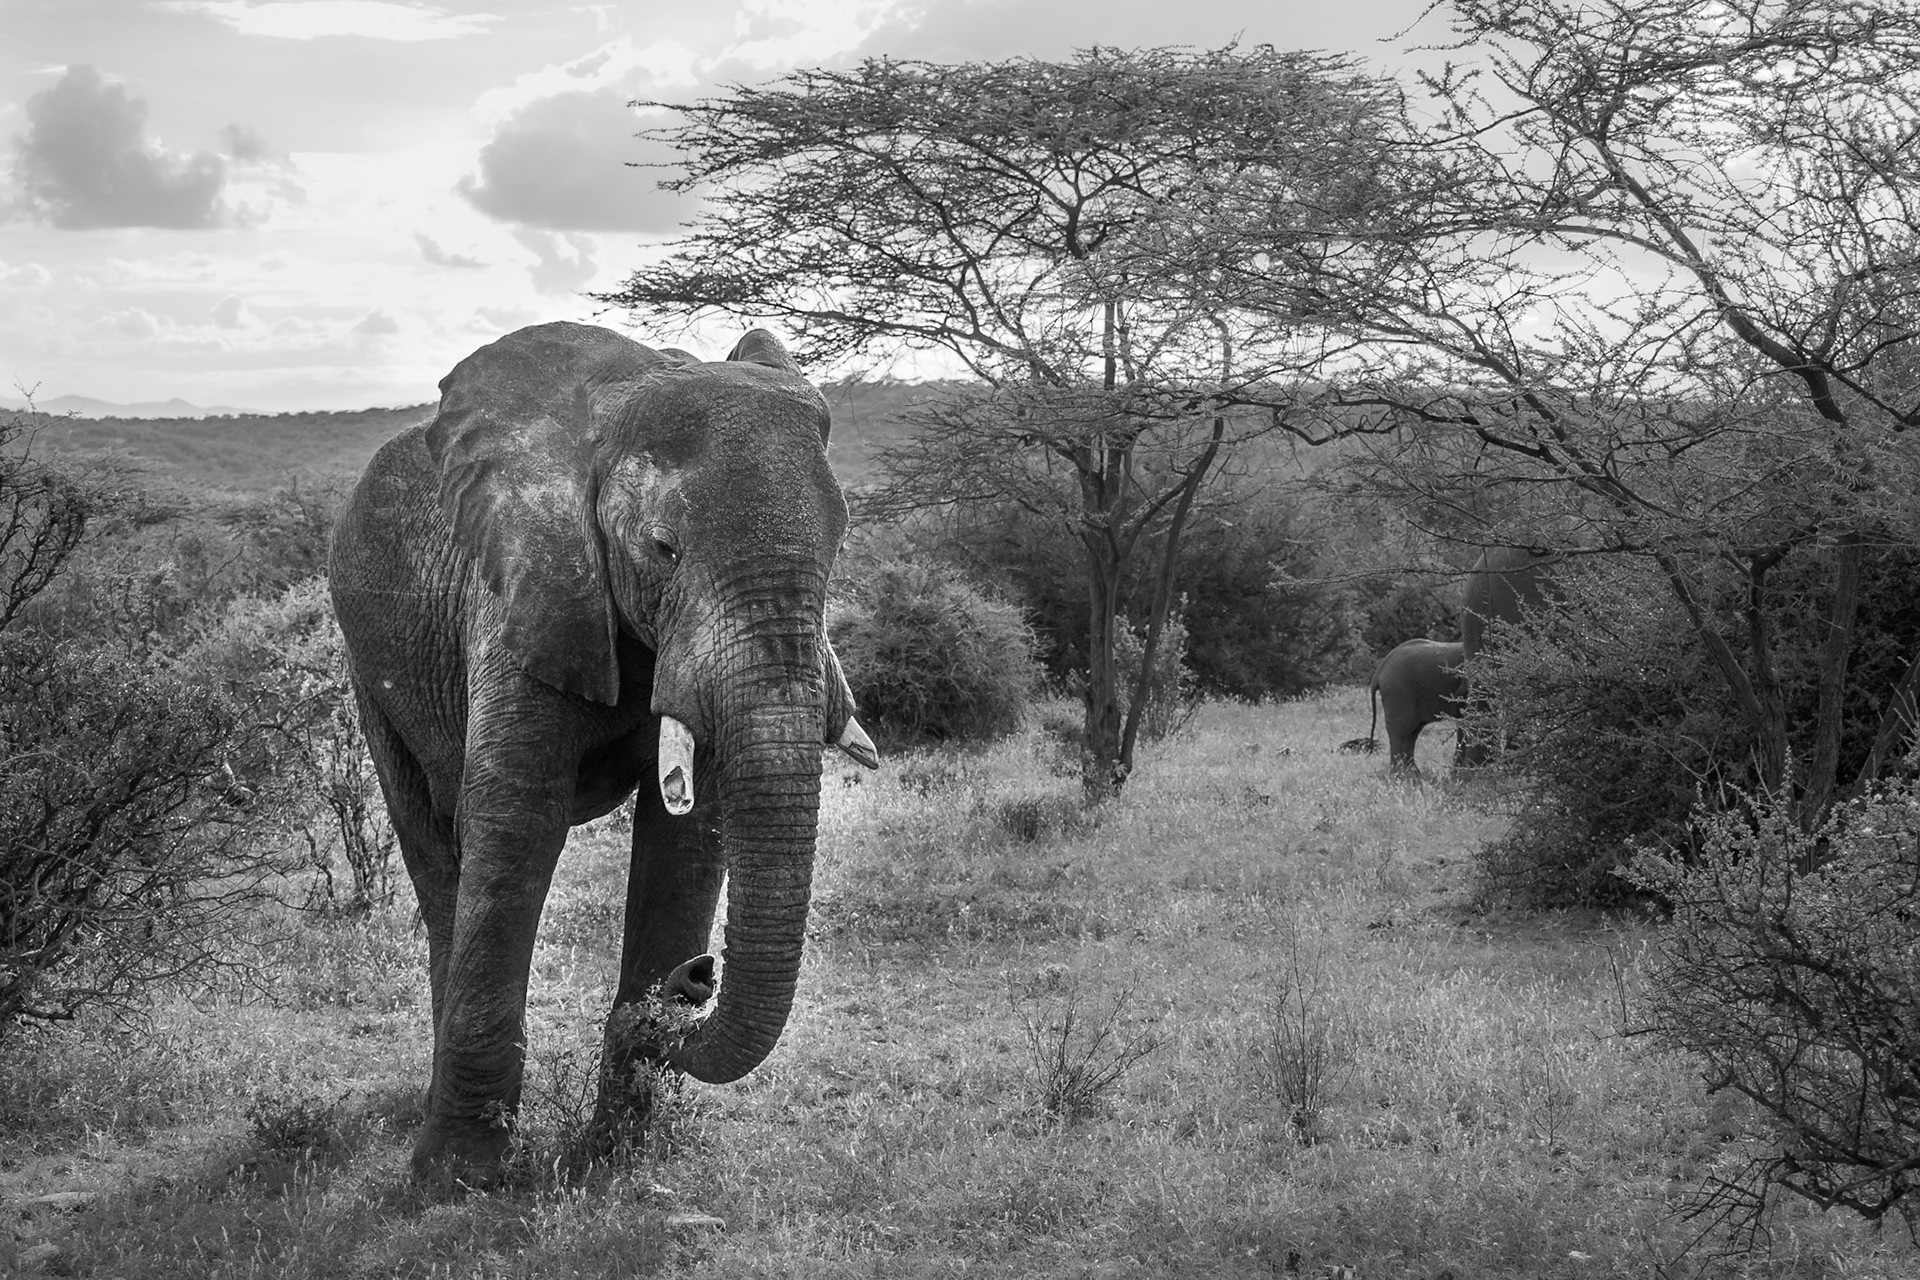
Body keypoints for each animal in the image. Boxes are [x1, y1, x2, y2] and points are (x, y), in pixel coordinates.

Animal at [327, 320, 878, 1184]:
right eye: (663, 549)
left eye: (840, 541)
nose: (696, 978)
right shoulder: (525, 589)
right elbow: (517, 823)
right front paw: (456, 1181)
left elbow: (687, 841)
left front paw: (617, 1158)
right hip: (369, 666)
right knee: (432, 848)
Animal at [1367, 638, 1466, 773]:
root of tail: (1380, 670)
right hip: (1400, 691)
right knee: (1401, 731)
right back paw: (1399, 774)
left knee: (1411, 733)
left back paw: (1413, 773)